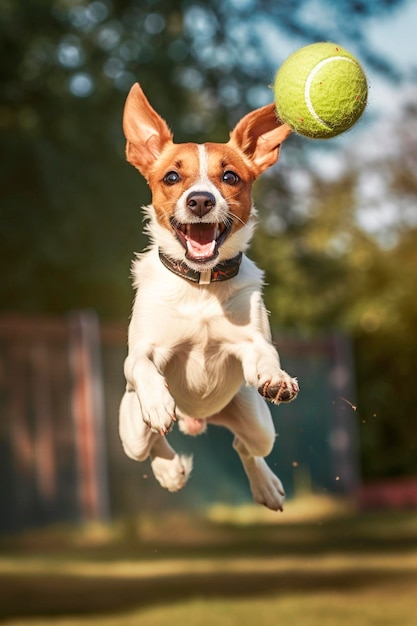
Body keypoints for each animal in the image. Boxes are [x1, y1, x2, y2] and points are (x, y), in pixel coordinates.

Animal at [118, 83, 298, 510]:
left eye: (230, 176)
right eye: (171, 176)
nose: (201, 200)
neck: (200, 286)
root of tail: (197, 415)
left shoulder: (251, 342)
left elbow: (265, 354)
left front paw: (276, 375)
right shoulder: (141, 352)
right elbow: (142, 366)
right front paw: (157, 400)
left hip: (256, 420)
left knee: (245, 446)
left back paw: (266, 485)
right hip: (130, 430)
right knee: (152, 442)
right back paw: (169, 468)